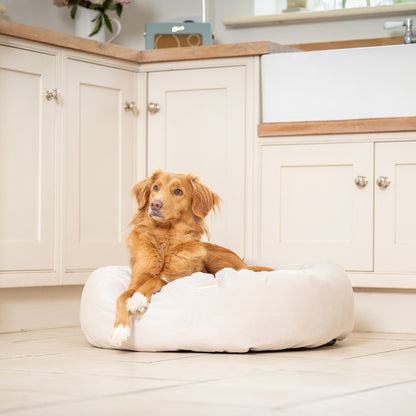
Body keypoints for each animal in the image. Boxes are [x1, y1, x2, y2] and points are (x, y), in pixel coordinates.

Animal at [112, 169, 272, 344]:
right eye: (155, 188)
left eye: (178, 191)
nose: (155, 203)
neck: (164, 239)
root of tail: (244, 263)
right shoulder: (135, 281)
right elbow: (121, 296)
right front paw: (119, 329)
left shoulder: (176, 278)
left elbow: (155, 280)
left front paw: (138, 299)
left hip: (215, 259)